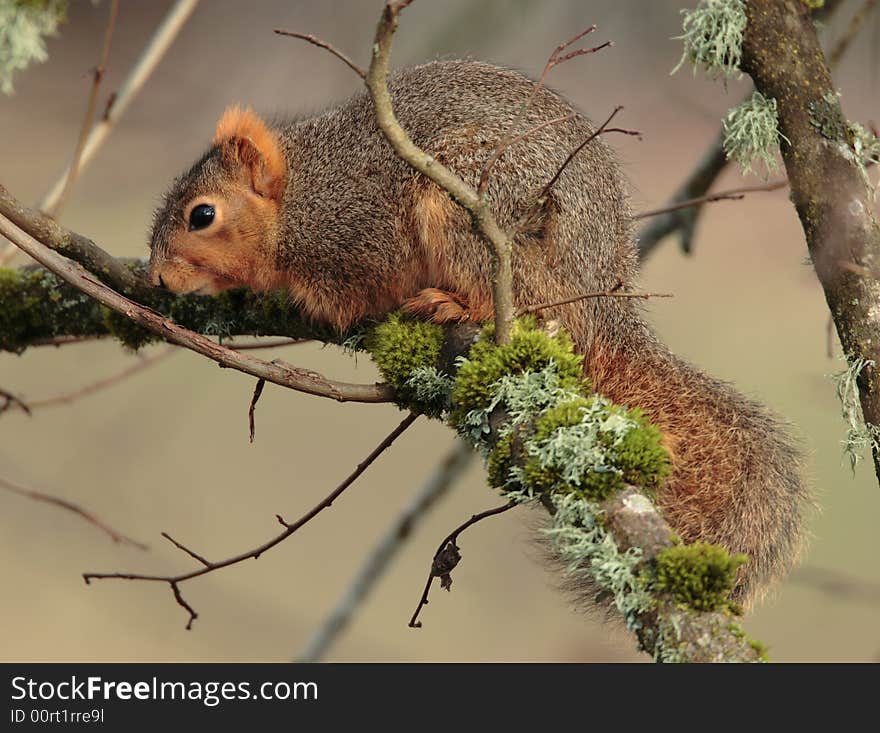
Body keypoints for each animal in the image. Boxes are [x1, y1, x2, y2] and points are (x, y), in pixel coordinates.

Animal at [148, 58, 808, 608]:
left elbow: (355, 294)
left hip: (476, 206)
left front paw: (295, 298)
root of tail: (604, 306)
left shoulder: (357, 234)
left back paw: (451, 304)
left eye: (202, 215)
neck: (299, 197)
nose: (156, 276)